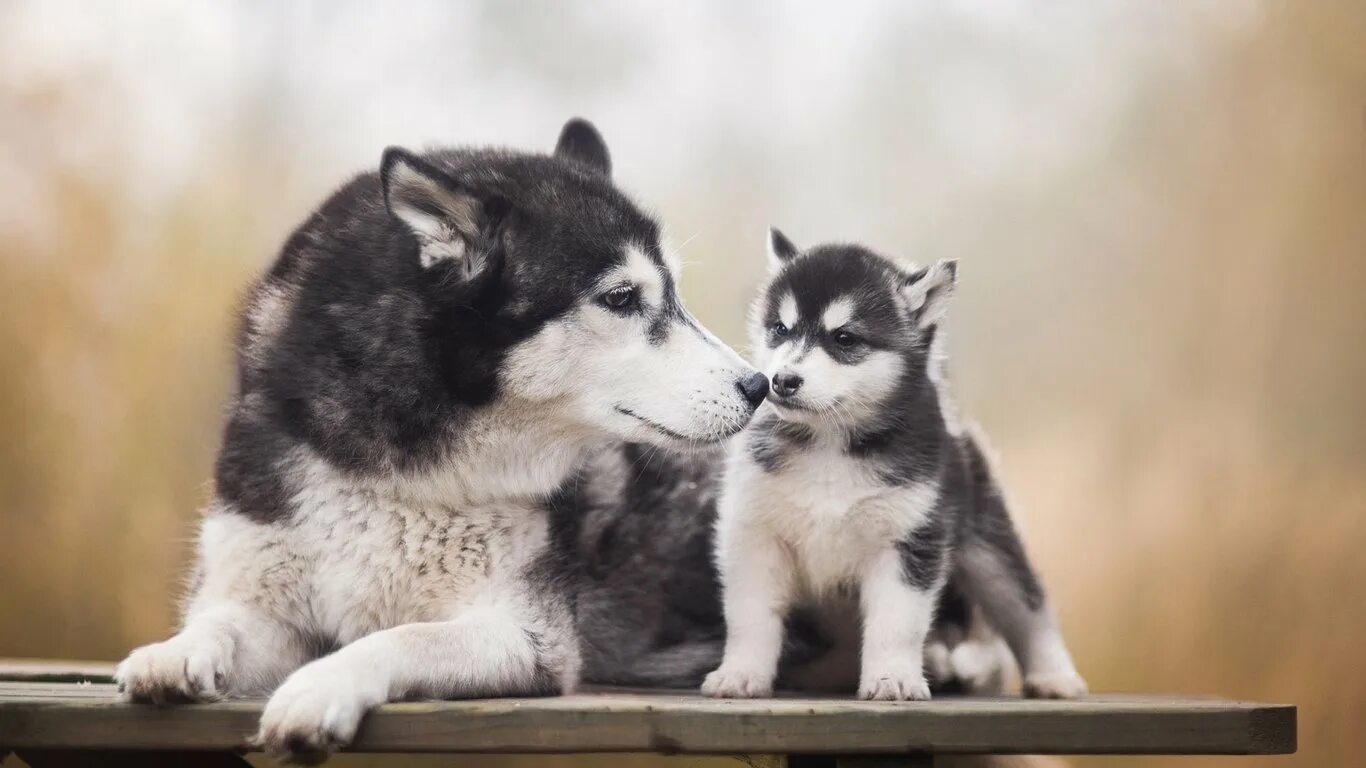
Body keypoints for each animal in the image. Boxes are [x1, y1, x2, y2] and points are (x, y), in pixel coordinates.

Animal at [114, 119, 770, 759]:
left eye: (674, 293)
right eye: (622, 298)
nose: (757, 385)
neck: (396, 470)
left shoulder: (532, 637)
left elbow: (400, 637)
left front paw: (318, 689)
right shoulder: (261, 597)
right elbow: (219, 621)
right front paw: (174, 653)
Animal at [704, 228, 1087, 699]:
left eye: (845, 339)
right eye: (780, 329)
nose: (782, 381)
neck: (831, 444)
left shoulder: (909, 542)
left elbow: (895, 623)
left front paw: (892, 678)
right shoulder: (755, 534)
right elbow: (751, 615)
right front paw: (741, 673)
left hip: (989, 547)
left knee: (1026, 604)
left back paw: (1054, 676)